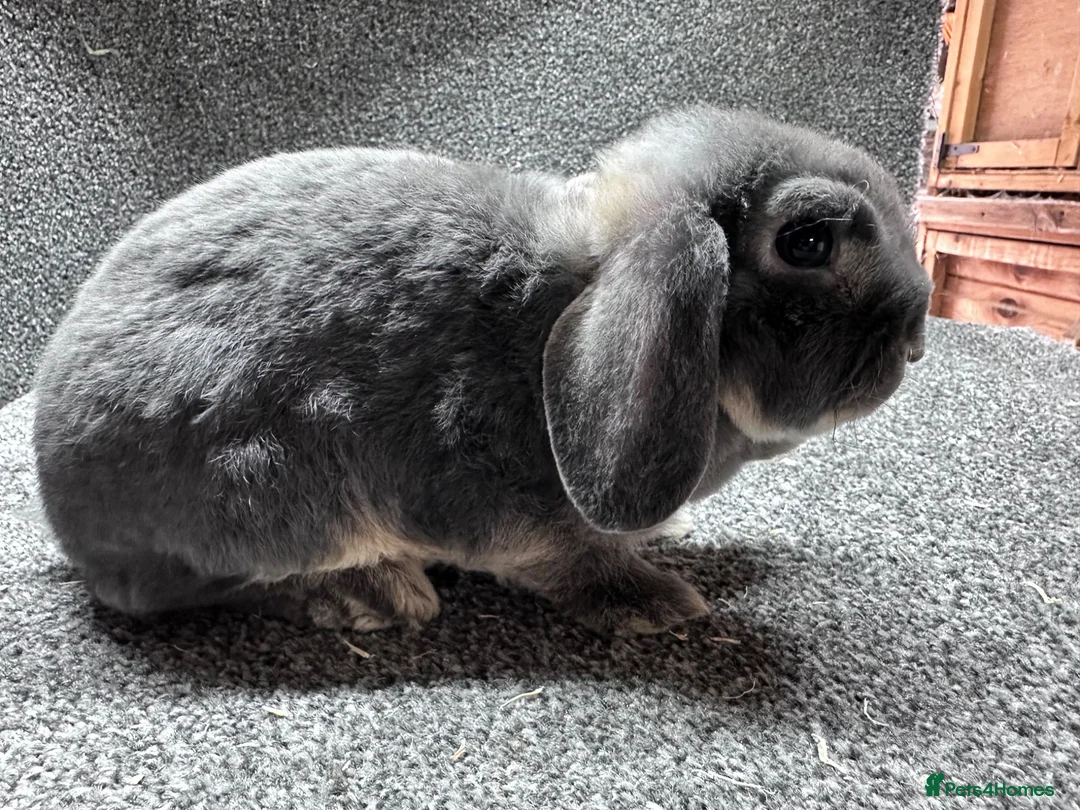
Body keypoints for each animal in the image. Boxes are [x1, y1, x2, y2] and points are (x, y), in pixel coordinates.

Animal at [33, 106, 931, 636]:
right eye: (808, 242)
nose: (919, 334)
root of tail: (70, 518)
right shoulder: (500, 500)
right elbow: (573, 565)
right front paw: (659, 603)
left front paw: (671, 532)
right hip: (274, 481)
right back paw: (376, 593)